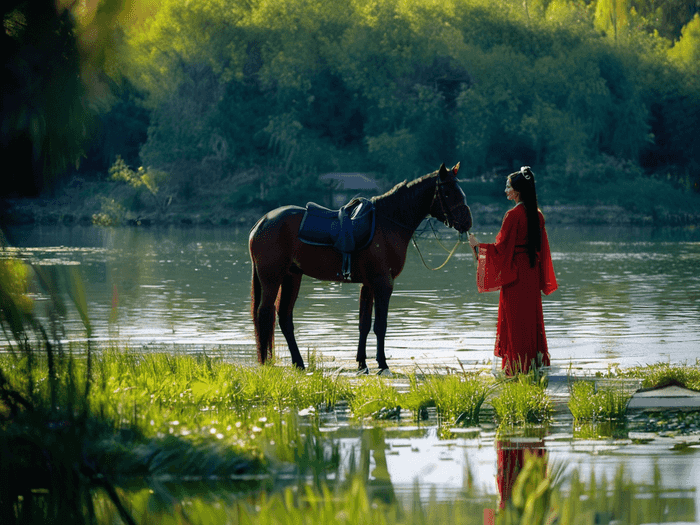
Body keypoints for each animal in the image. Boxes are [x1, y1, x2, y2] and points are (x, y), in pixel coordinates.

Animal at [249, 164, 474, 372]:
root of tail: (261, 222)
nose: (467, 222)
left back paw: (298, 363)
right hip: (272, 279)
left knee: (284, 318)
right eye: (448, 192)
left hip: (291, 277)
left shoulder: (368, 284)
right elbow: (380, 325)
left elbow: (364, 324)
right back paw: (266, 363)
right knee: (265, 314)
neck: (387, 223)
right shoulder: (383, 283)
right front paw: (382, 364)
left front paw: (362, 363)